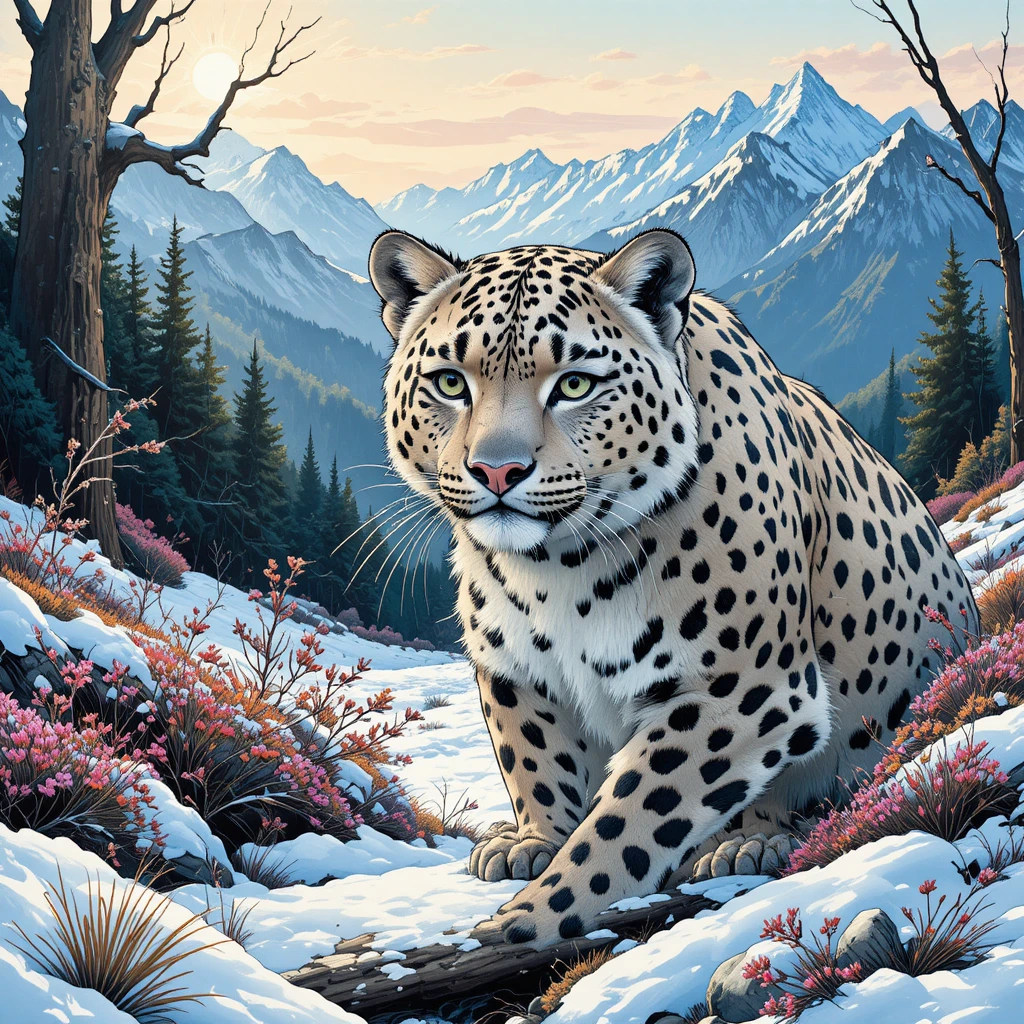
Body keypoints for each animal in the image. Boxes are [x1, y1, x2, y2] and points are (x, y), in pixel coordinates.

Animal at [368, 227, 978, 948]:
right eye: (449, 383)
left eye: (574, 384)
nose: (497, 470)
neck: (552, 571)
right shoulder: (514, 669)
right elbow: (534, 762)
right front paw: (531, 842)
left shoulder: (740, 693)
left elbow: (625, 826)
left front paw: (529, 918)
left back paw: (747, 844)